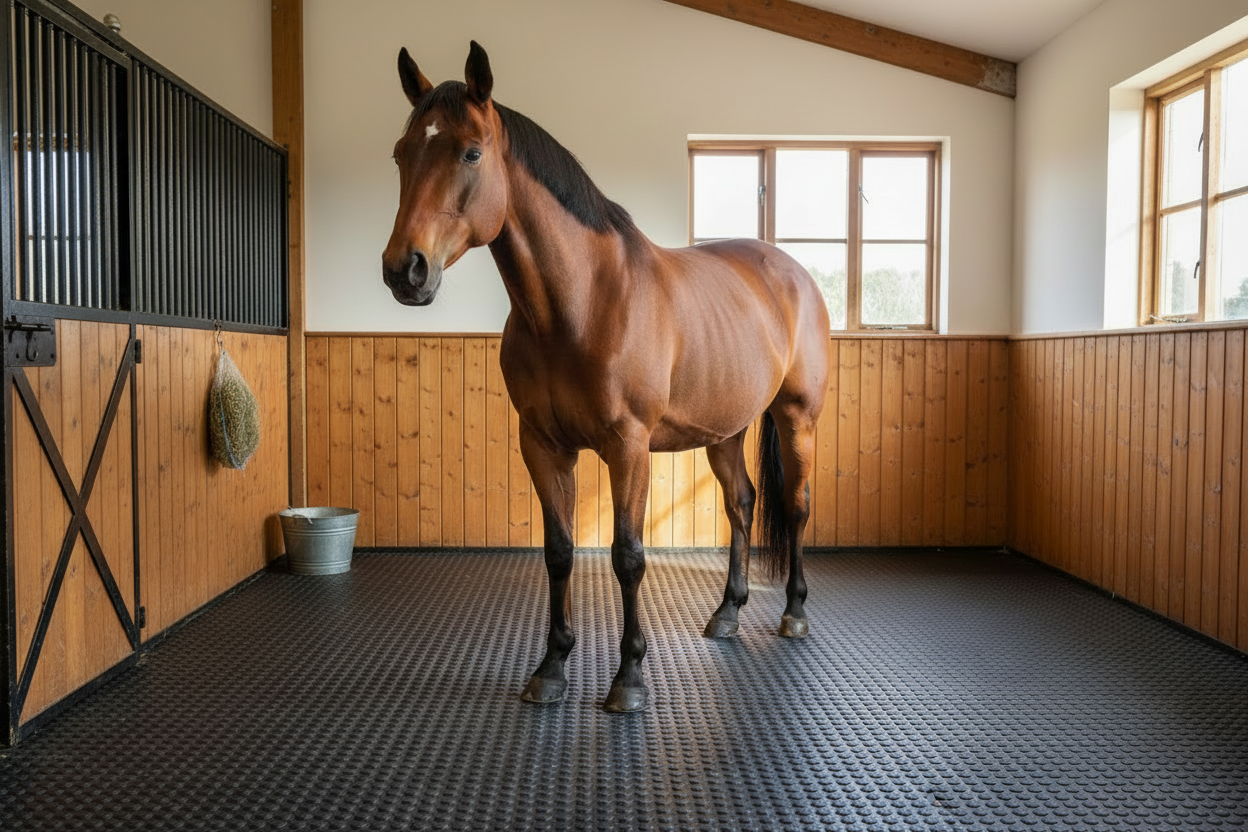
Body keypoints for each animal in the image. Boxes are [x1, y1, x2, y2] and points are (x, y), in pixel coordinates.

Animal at [382, 42, 831, 713]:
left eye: (470, 152)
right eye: (401, 153)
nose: (404, 270)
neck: (583, 303)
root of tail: (793, 272)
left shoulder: (628, 446)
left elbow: (627, 556)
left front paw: (630, 677)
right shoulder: (543, 445)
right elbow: (560, 551)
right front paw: (551, 667)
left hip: (796, 417)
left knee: (796, 506)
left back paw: (794, 613)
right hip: (724, 432)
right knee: (743, 504)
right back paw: (727, 612)